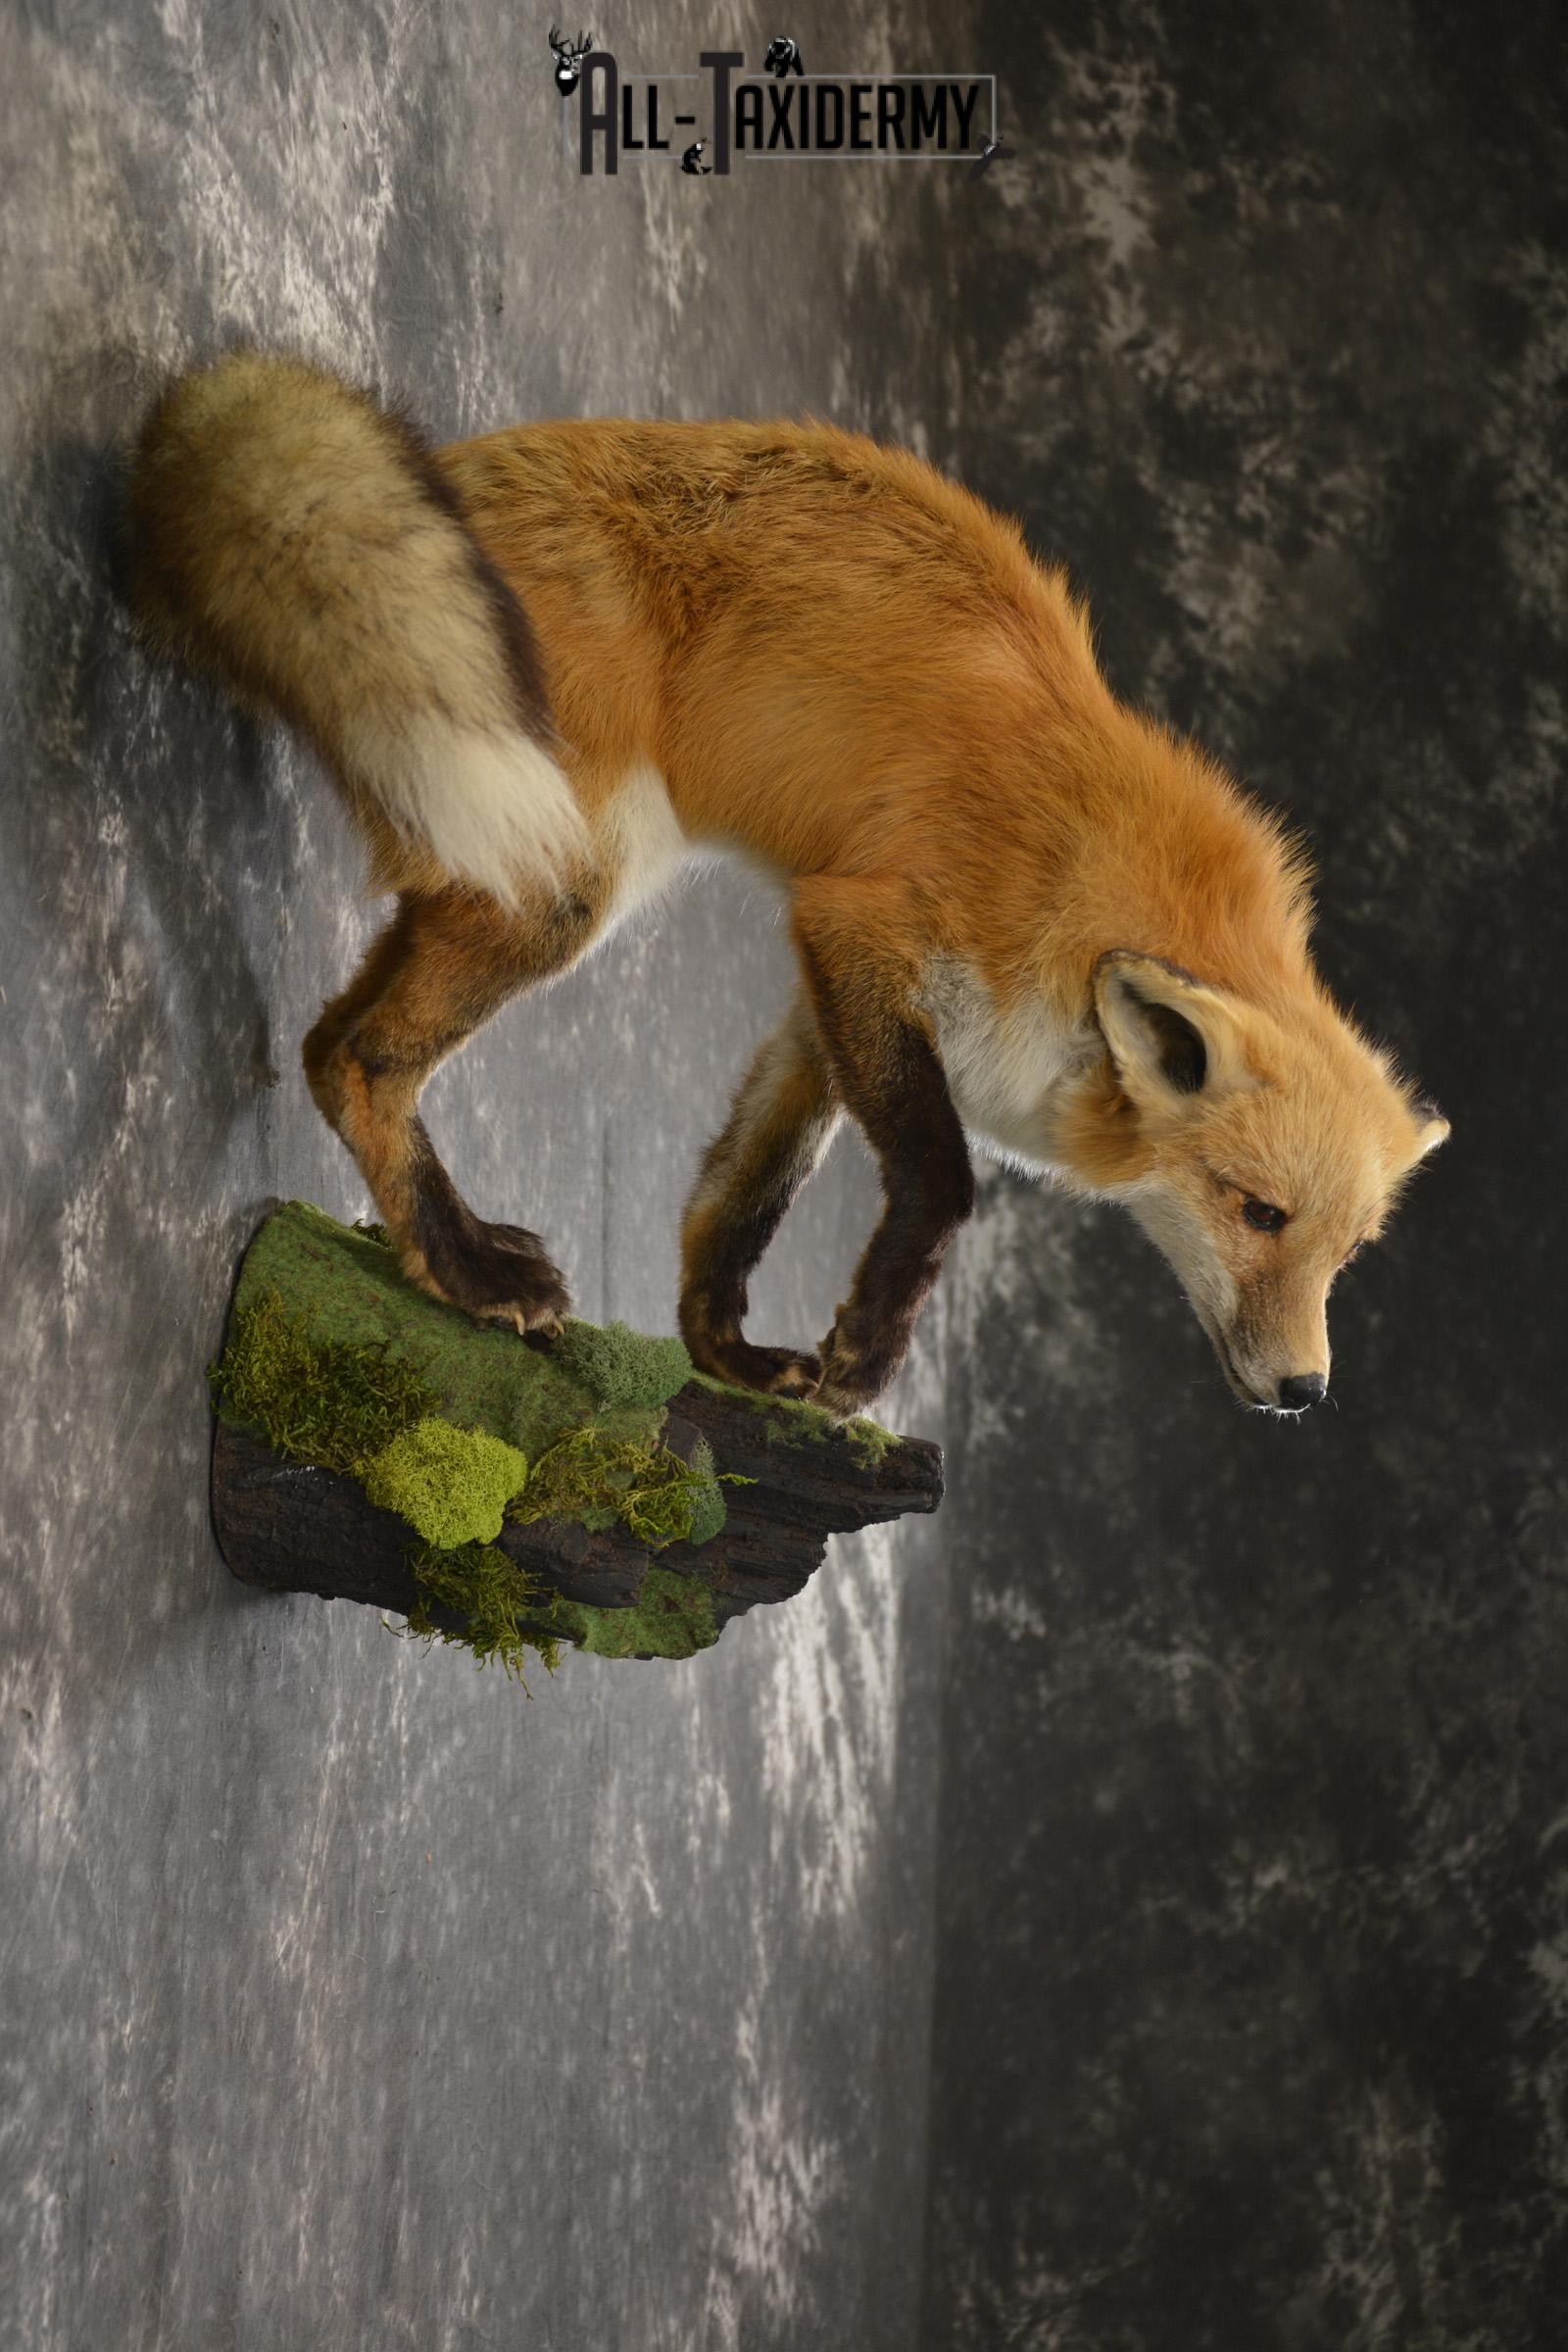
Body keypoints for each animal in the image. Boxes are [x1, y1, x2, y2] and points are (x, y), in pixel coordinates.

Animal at [128, 349, 1447, 1419]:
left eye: (1342, 1256)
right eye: (1259, 1213)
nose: (1306, 1390)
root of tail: (446, 469)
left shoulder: (826, 1007)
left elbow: (738, 1197)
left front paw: (726, 1357)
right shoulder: (863, 927)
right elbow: (940, 1179)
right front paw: (867, 1355)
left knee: (319, 1046)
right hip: (561, 870)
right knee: (359, 1058)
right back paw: (461, 1269)